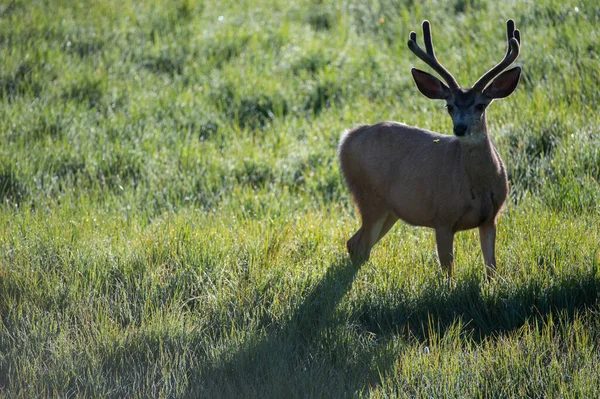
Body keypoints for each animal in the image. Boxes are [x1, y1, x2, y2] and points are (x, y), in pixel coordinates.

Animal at [340, 18, 524, 282]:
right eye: (449, 106)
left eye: (480, 105)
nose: (460, 128)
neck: (477, 187)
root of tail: (346, 139)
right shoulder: (442, 217)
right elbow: (448, 271)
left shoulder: (491, 218)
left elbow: (491, 268)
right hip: (368, 197)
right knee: (359, 244)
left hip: (390, 209)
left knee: (354, 243)